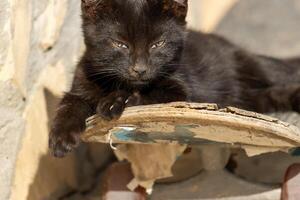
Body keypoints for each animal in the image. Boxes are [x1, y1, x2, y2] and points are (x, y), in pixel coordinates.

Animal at [49, 0, 300, 157]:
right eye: (120, 44)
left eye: (157, 44)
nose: (140, 69)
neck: (118, 83)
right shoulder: (82, 82)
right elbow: (68, 105)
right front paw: (60, 138)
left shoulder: (180, 91)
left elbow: (148, 95)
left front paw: (116, 102)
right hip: (254, 99)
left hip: (257, 67)